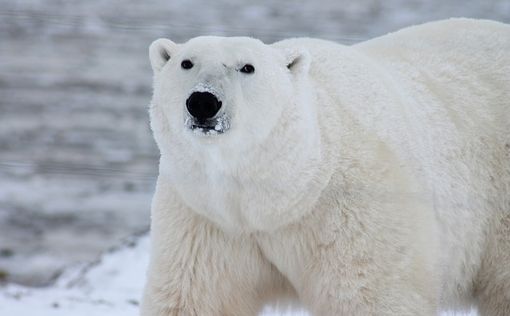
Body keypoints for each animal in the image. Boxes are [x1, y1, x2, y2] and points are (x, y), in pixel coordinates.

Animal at [140, 17, 510, 316]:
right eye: (186, 62)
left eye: (247, 67)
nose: (203, 101)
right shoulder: (206, 218)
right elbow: (196, 297)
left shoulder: (353, 210)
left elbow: (371, 296)